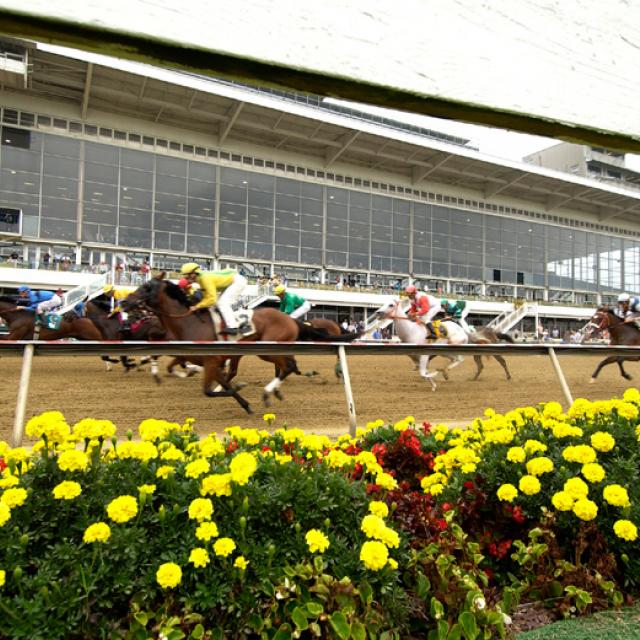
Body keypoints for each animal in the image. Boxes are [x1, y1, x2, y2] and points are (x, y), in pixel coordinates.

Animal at [123, 278, 302, 412]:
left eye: (146, 287)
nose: (124, 302)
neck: (189, 323)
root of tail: (289, 319)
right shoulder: (210, 361)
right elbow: (221, 384)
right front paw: (244, 403)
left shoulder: (211, 360)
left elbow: (208, 391)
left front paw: (238, 387)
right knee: (287, 366)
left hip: (267, 350)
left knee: (288, 366)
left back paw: (268, 392)